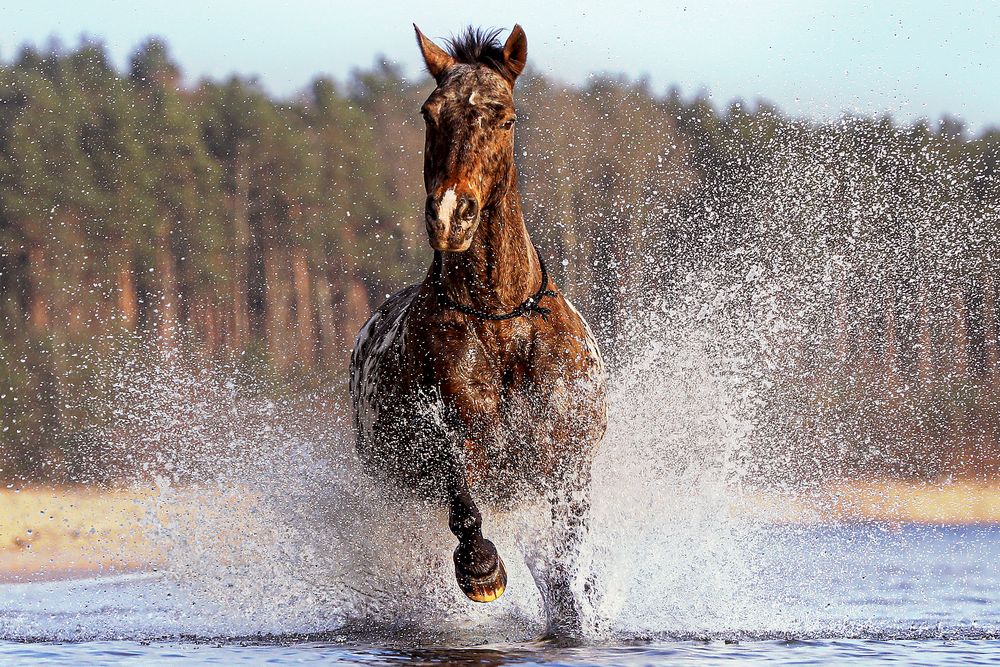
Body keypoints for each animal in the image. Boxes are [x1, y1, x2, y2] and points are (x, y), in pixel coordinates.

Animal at [348, 23, 604, 636]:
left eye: (506, 117)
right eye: (429, 112)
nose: (450, 214)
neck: (501, 319)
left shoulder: (568, 461)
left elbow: (570, 554)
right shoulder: (444, 431)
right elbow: (462, 495)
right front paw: (482, 571)